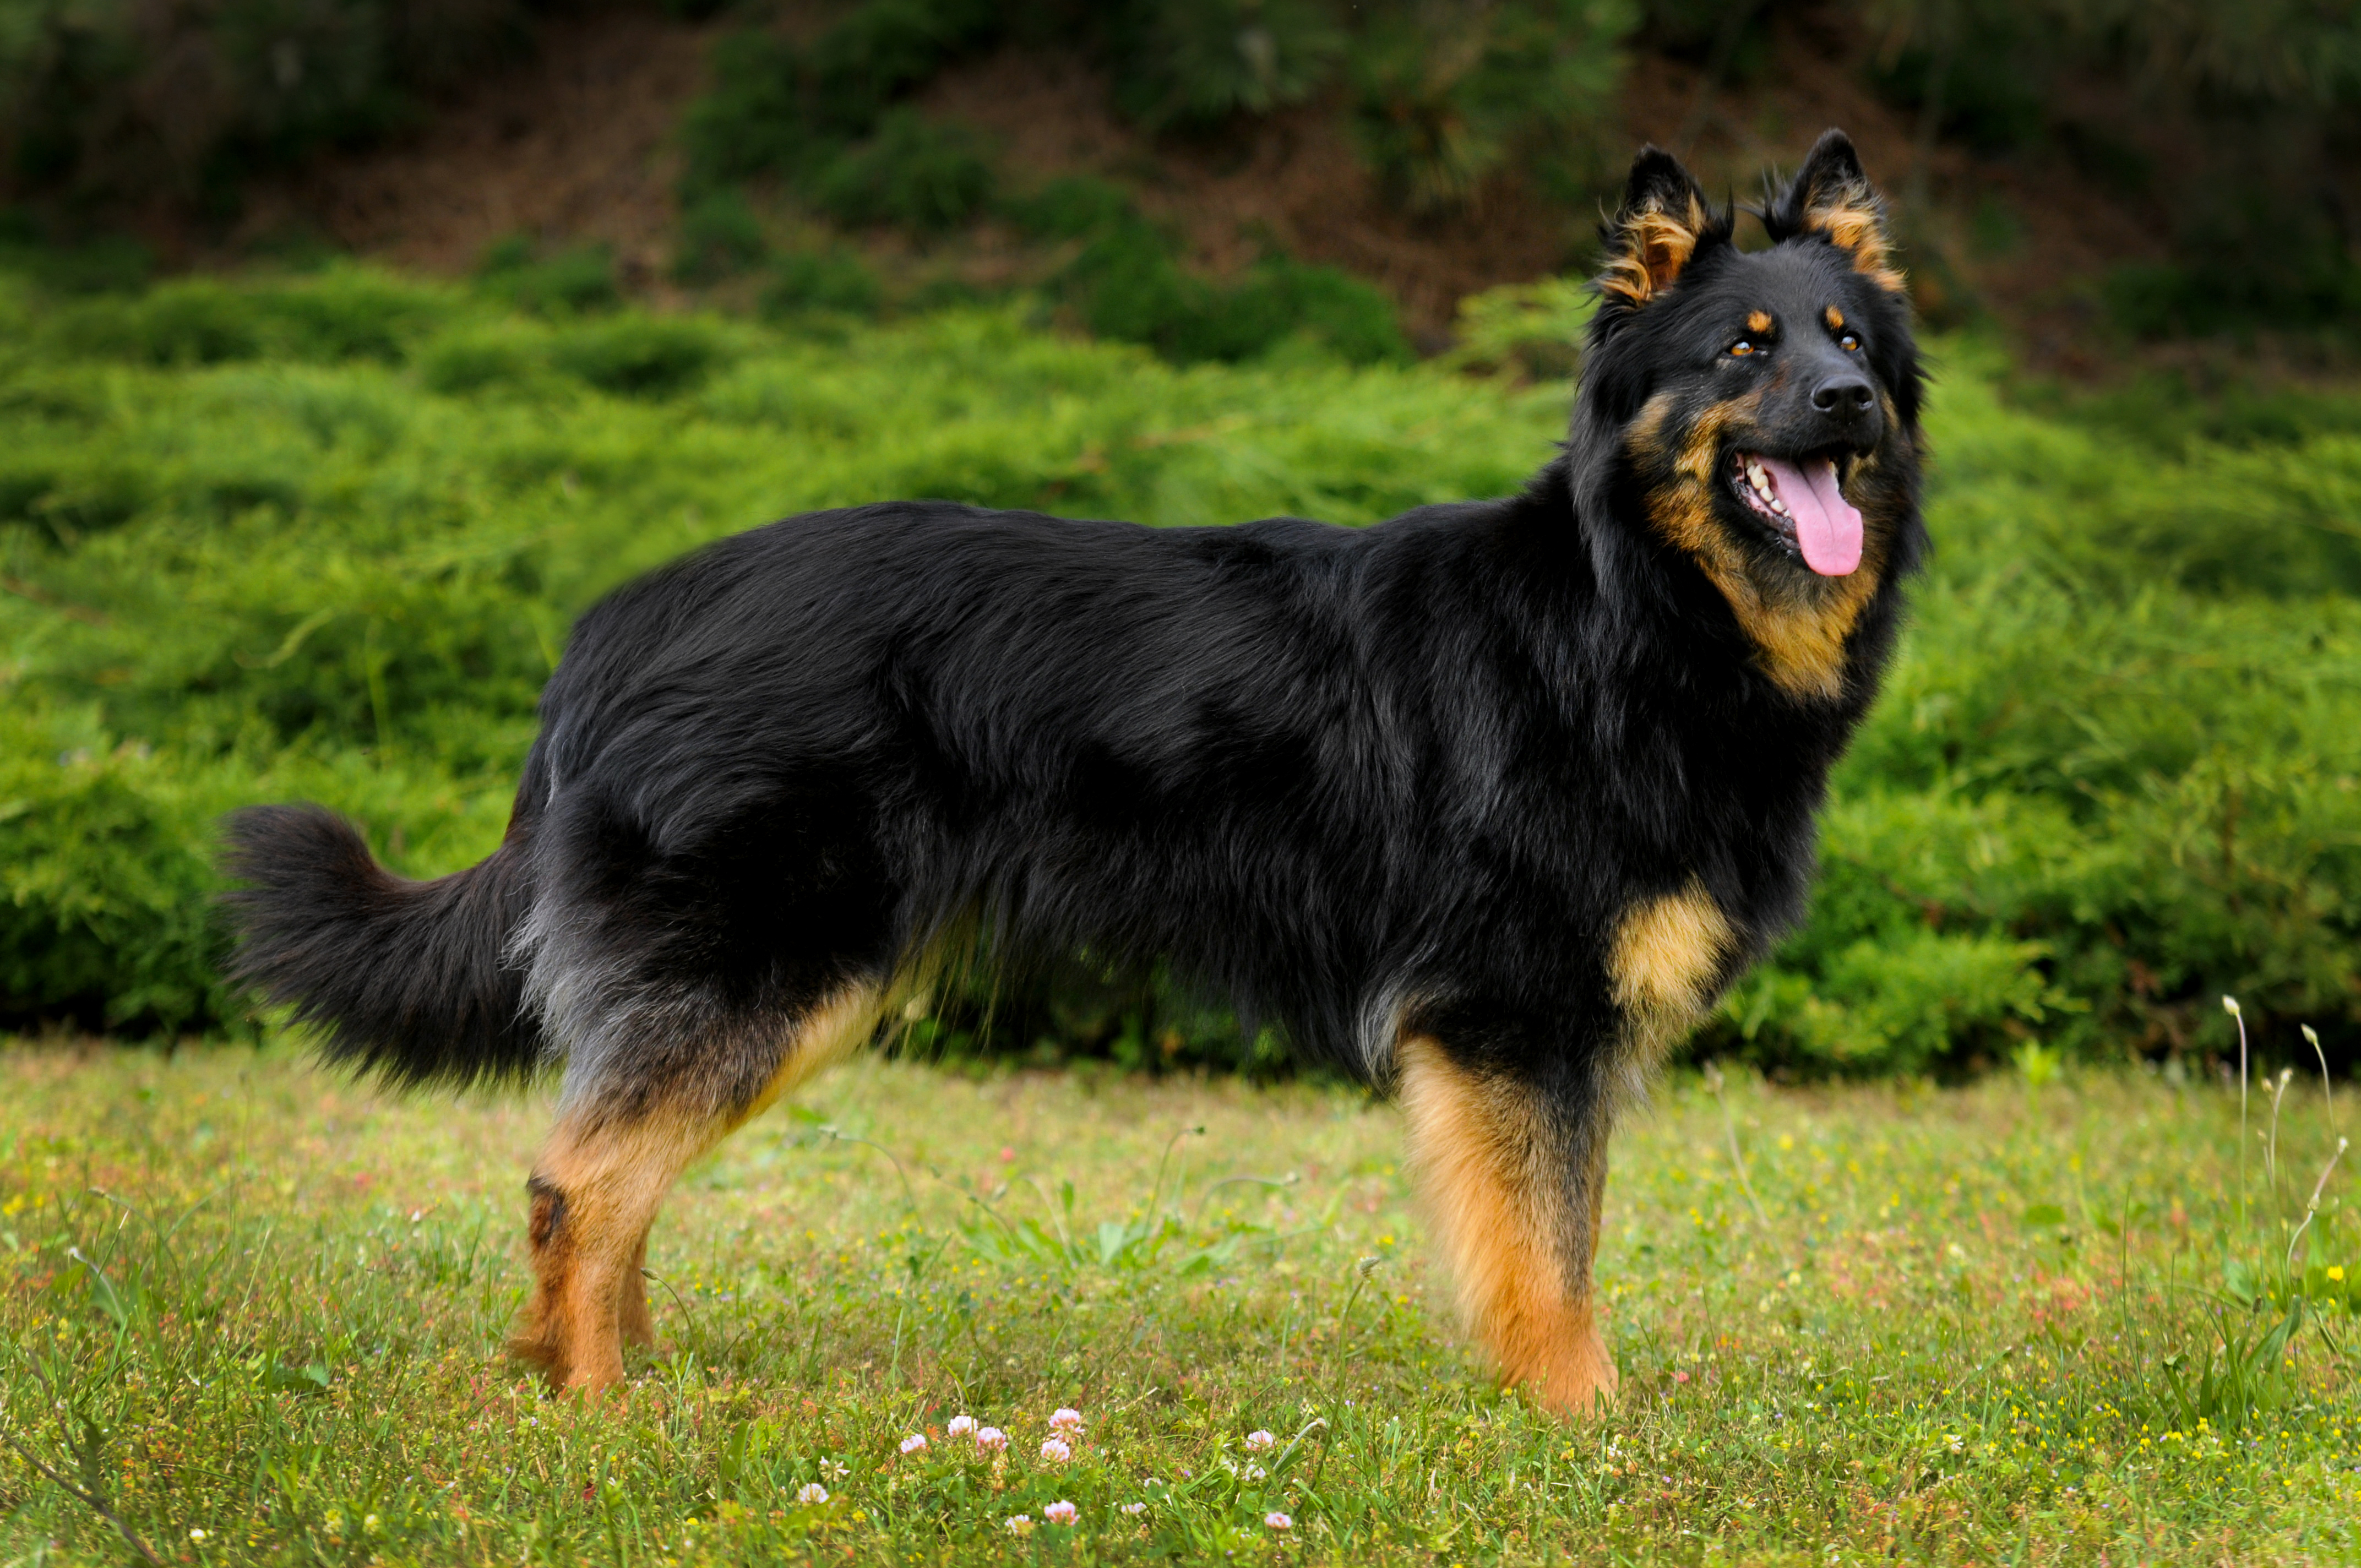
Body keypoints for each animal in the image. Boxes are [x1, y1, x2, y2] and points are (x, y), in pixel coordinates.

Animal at [222, 128, 1917, 1417]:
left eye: (1848, 344)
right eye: (1743, 350)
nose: (1853, 407)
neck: (1631, 613)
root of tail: (615, 623)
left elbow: (1551, 1242)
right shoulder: (1515, 1019)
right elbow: (1550, 1259)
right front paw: (1581, 1424)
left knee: (605, 1169)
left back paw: (617, 1370)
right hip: (772, 967)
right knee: (578, 1180)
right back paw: (594, 1410)